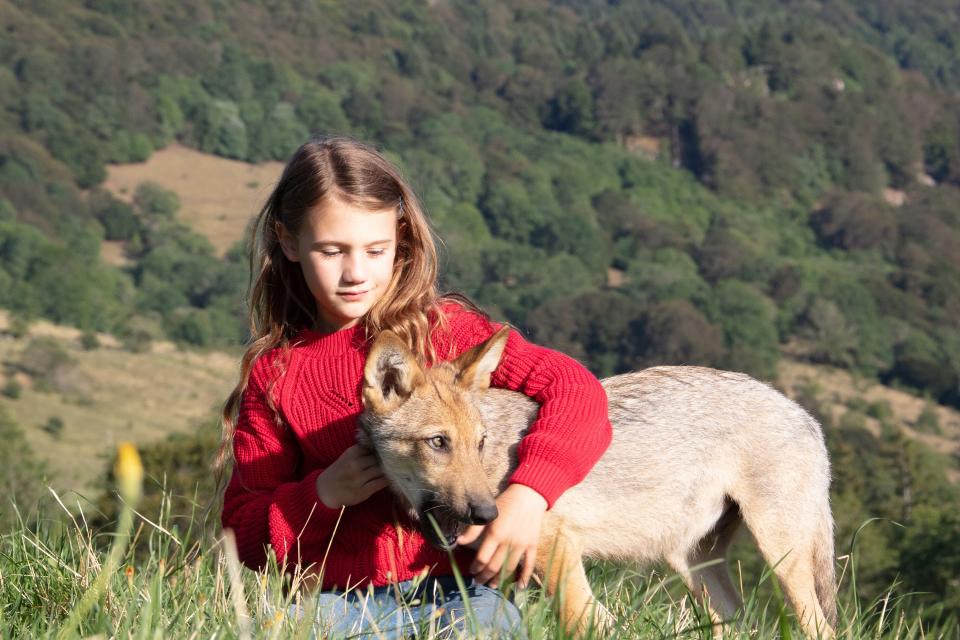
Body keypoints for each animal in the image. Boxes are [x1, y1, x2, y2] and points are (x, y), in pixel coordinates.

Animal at [356, 328, 836, 636]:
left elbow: (584, 621)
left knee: (821, 627)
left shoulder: (556, 548)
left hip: (780, 557)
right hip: (695, 566)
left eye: (480, 442)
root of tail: (805, 416)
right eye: (438, 442)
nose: (487, 512)